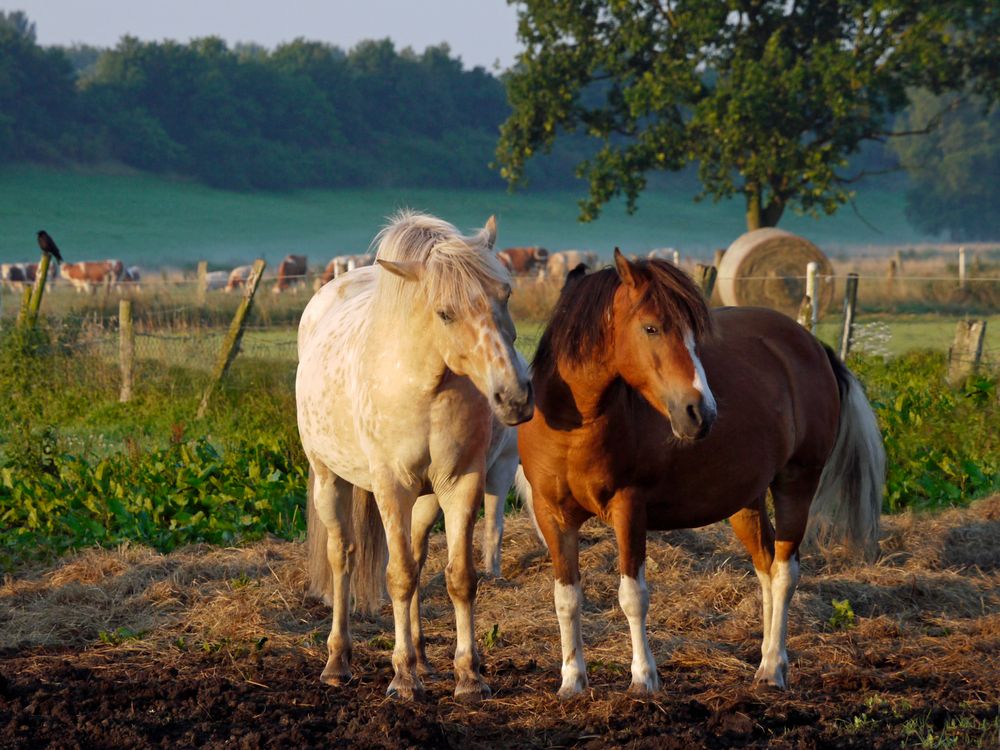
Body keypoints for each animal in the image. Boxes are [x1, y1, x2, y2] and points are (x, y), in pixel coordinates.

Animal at [294, 213, 532, 704]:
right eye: (445, 312)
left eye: (505, 295)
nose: (515, 397)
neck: (425, 384)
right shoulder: (392, 487)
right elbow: (399, 575)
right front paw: (402, 677)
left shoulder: (461, 483)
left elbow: (459, 576)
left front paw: (468, 675)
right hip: (330, 480)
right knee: (342, 556)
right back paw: (338, 661)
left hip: (426, 499)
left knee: (420, 555)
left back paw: (423, 656)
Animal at [516, 250, 884, 696]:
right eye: (651, 327)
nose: (701, 412)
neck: (574, 424)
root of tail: (812, 345)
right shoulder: (552, 516)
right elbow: (566, 597)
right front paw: (572, 681)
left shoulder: (629, 508)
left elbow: (632, 595)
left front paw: (643, 678)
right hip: (745, 500)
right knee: (765, 569)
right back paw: (765, 660)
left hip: (797, 483)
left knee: (784, 573)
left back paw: (773, 668)